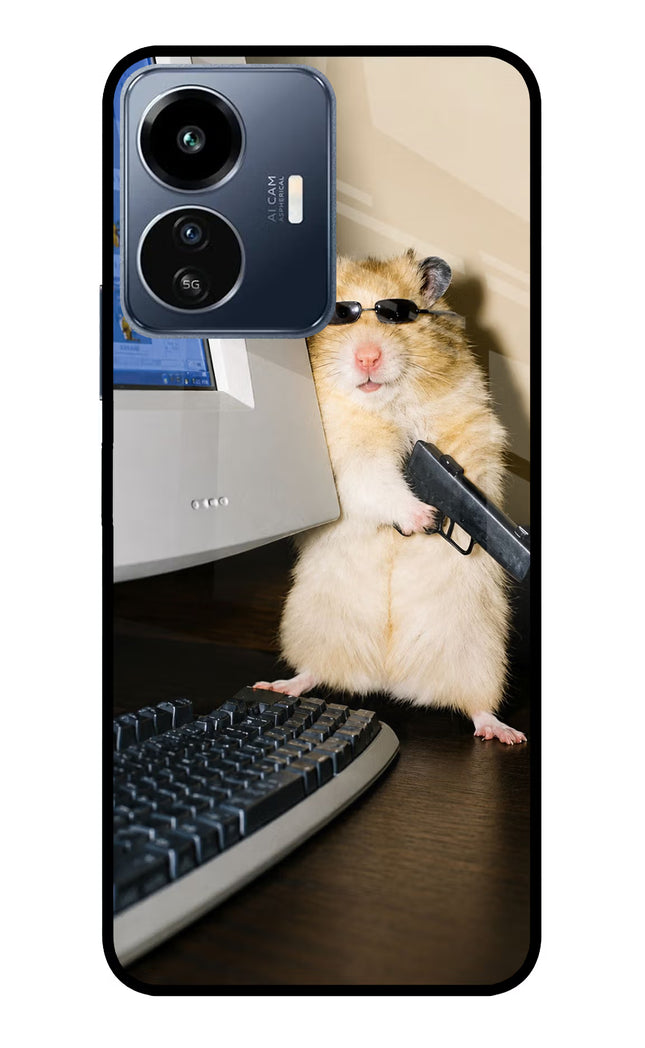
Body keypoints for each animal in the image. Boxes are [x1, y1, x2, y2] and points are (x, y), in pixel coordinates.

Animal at [256, 250, 526, 744]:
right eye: (340, 315)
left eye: (397, 315)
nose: (367, 357)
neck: (386, 404)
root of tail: (389, 679)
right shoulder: (347, 459)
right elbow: (378, 483)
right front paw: (423, 518)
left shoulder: (472, 428)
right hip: (311, 626)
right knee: (314, 672)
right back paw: (278, 685)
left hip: (480, 654)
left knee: (477, 706)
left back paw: (504, 733)